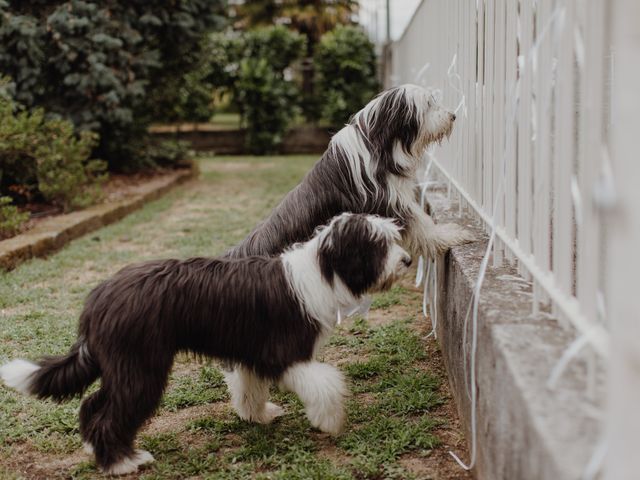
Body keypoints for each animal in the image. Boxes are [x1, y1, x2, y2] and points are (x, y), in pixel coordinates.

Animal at [0, 214, 410, 476]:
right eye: (378, 244)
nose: (406, 260)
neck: (323, 270)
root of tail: (99, 298)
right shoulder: (284, 354)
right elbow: (325, 383)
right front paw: (330, 420)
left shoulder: (250, 352)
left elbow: (248, 387)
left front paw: (256, 415)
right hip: (141, 366)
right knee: (109, 413)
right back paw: (121, 462)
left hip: (122, 364)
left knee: (92, 405)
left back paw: (98, 450)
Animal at [228, 83, 472, 262]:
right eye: (429, 104)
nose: (452, 116)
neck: (379, 142)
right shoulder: (387, 199)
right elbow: (421, 222)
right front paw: (450, 234)